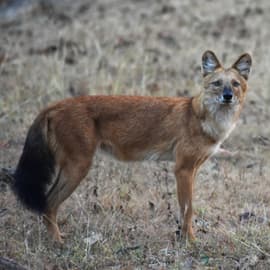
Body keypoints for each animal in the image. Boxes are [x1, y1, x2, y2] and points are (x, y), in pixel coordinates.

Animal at [13, 50, 251, 243]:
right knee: (49, 202)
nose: (227, 96)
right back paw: (57, 242)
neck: (207, 120)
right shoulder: (182, 169)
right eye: (217, 83)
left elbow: (187, 208)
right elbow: (188, 209)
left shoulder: (193, 169)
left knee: (48, 203)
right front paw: (190, 242)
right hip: (78, 167)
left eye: (235, 84)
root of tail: (53, 106)